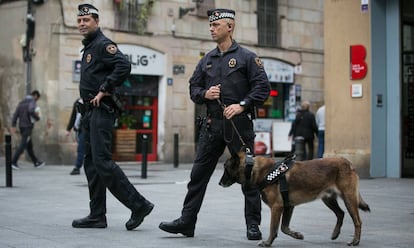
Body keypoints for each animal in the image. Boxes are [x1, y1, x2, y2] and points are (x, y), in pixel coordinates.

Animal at [218, 152, 370, 247]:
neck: (254, 169)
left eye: (225, 168)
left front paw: (267, 243)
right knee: (340, 213)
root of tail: (348, 162)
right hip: (328, 199)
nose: (219, 183)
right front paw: (296, 235)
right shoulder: (288, 206)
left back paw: (355, 241)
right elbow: (284, 227)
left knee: (357, 221)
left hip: (349, 199)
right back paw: (335, 234)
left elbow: (274, 227)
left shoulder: (277, 207)